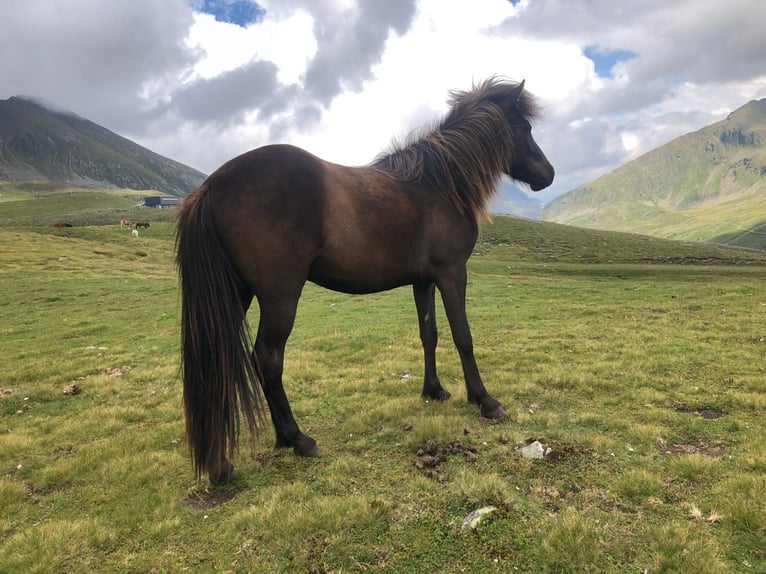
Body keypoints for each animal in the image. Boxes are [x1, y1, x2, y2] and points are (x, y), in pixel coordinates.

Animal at [176, 77, 554, 484]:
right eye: (526, 128)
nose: (548, 174)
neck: (439, 184)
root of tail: (212, 185)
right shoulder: (453, 273)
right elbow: (462, 337)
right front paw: (484, 400)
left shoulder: (423, 281)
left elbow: (429, 334)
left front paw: (433, 390)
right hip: (280, 295)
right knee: (267, 358)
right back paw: (298, 439)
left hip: (237, 293)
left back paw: (234, 459)